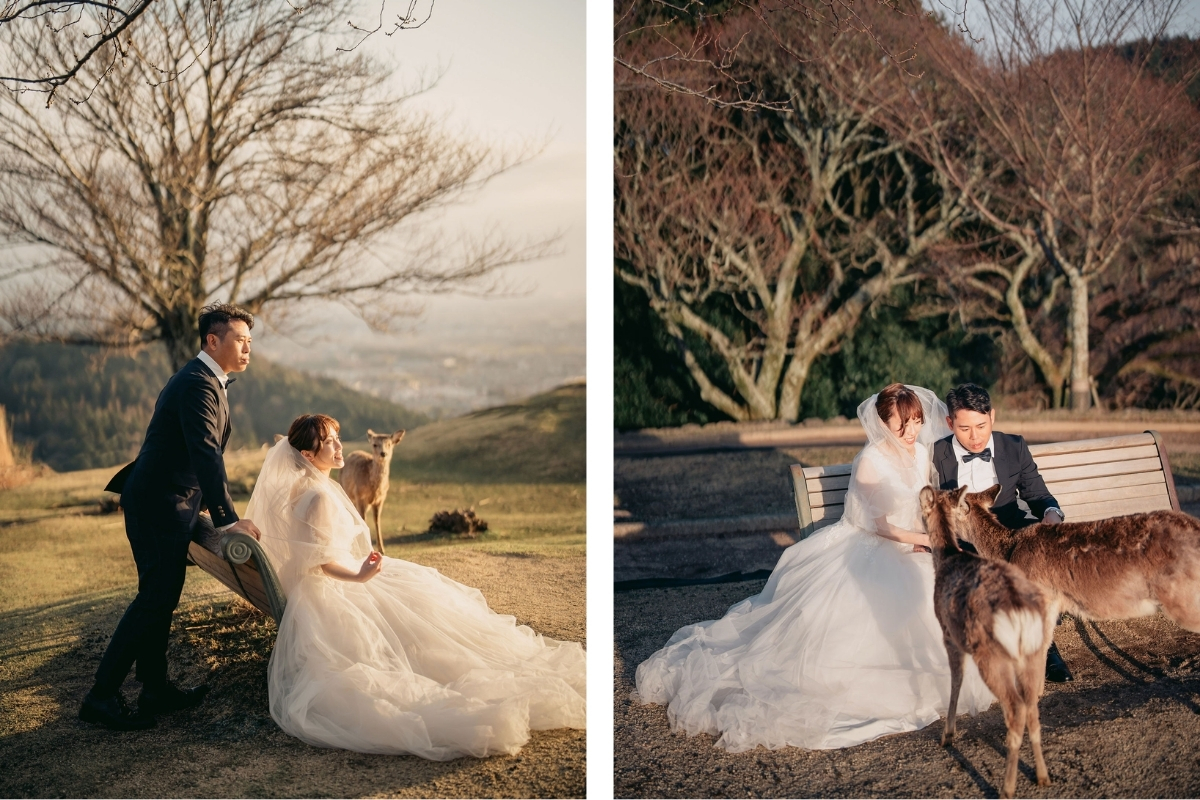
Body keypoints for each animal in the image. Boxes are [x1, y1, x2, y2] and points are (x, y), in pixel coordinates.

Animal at [916, 484, 1051, 796]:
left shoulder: (948, 632)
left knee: (1017, 707)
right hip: (1030, 652)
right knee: (1031, 706)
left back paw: (1007, 788)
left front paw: (948, 735)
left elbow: (956, 679)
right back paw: (1041, 776)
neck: (948, 557)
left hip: (991, 655)